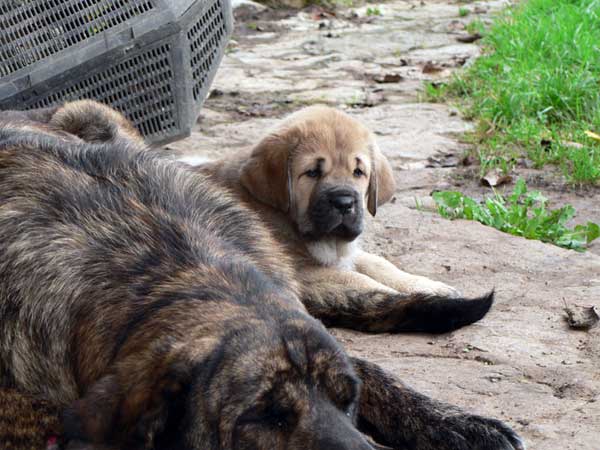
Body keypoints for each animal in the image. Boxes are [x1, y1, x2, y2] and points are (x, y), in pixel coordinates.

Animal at [192, 106, 492, 334]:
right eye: (312, 172)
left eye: (358, 172)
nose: (344, 202)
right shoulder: (304, 273)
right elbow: (358, 281)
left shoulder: (345, 254)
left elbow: (380, 264)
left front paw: (431, 287)